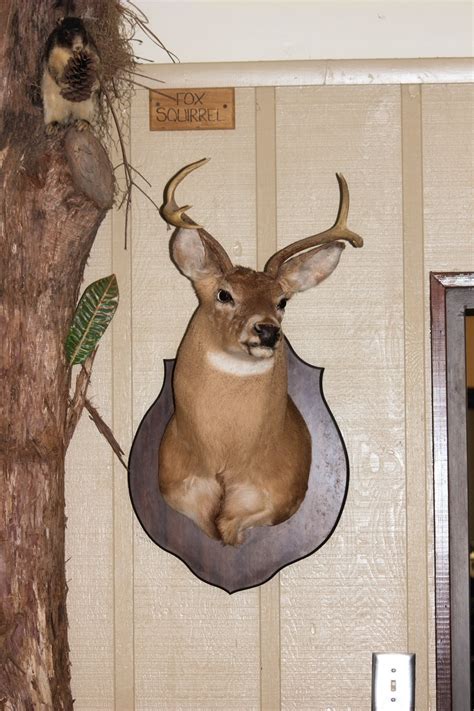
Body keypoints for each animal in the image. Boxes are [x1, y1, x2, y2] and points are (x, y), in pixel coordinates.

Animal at [158, 158, 363, 546]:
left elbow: (236, 523)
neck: (225, 460)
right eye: (224, 294)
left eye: (282, 301)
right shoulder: (176, 489)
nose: (267, 331)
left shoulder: (278, 499)